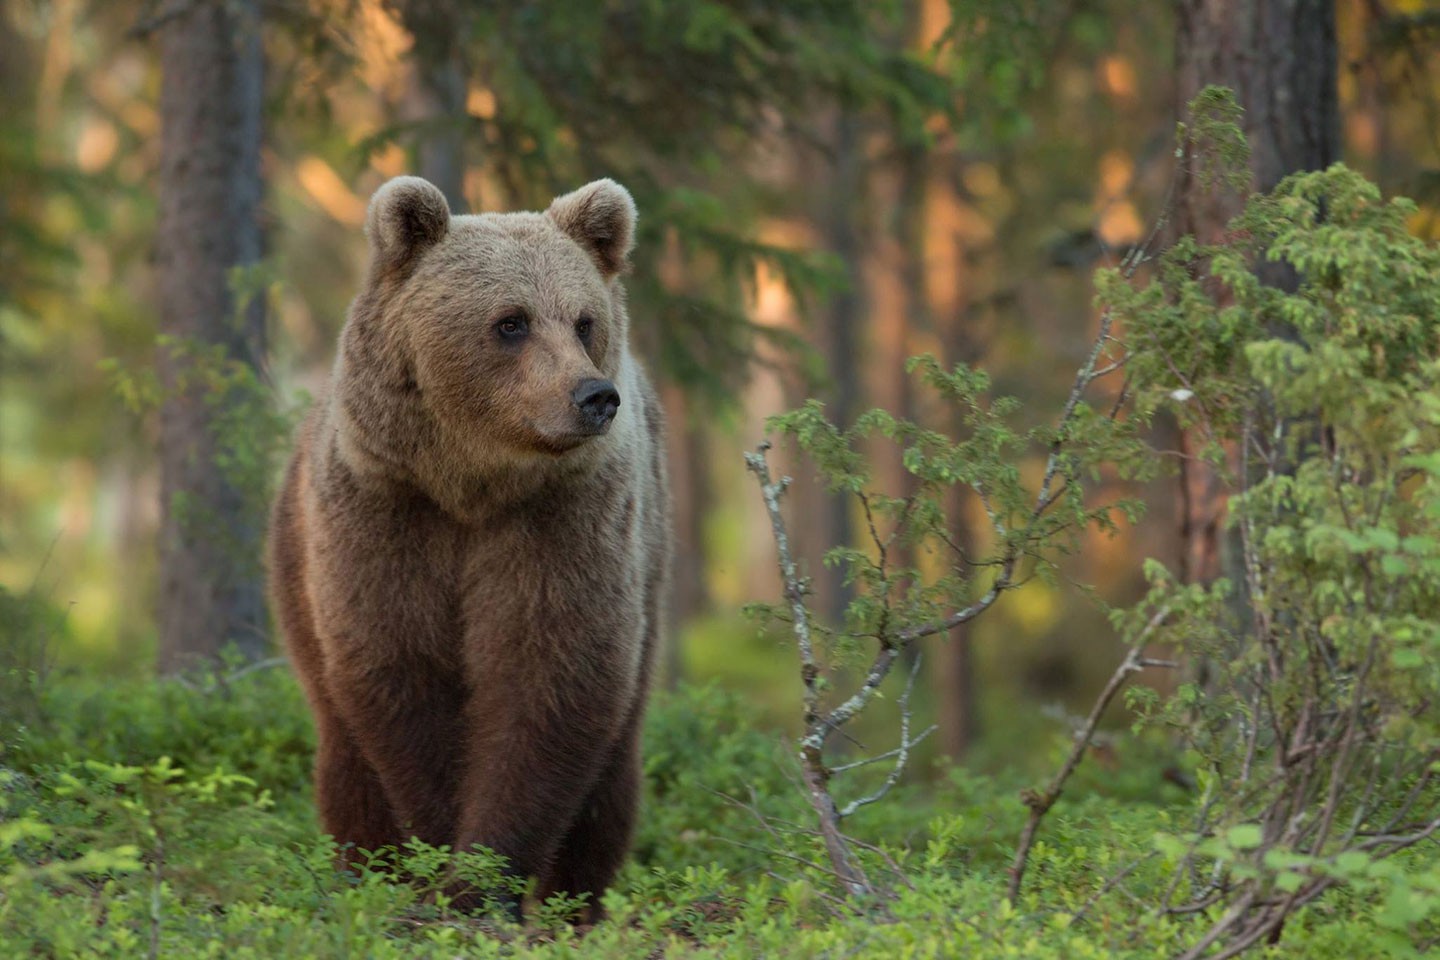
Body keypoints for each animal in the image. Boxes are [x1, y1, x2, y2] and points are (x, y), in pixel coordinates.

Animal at [269, 176, 668, 921]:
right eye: (510, 321)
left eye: (583, 321)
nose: (594, 396)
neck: (471, 487)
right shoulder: (385, 513)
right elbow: (400, 671)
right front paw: (439, 854)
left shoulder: (561, 523)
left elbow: (548, 679)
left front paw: (483, 880)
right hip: (294, 573)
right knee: (345, 760)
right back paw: (366, 871)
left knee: (612, 774)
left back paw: (576, 907)